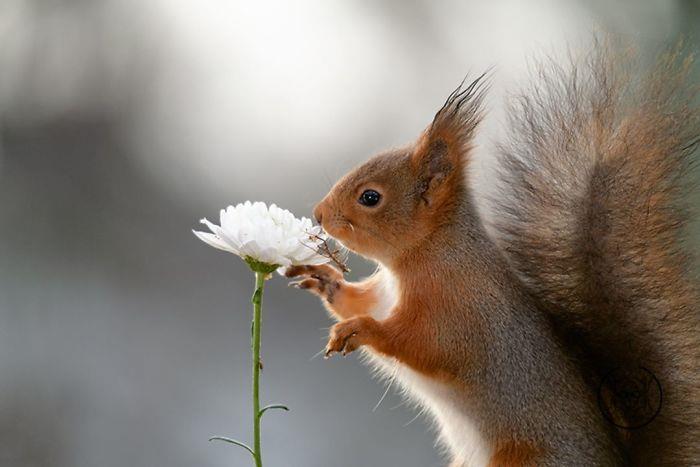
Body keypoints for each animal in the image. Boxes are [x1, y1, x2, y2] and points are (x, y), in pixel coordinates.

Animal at [284, 42, 700, 466]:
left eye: (370, 197)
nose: (319, 214)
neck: (426, 253)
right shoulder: (384, 294)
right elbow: (356, 301)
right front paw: (325, 280)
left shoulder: (458, 309)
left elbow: (427, 345)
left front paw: (361, 329)